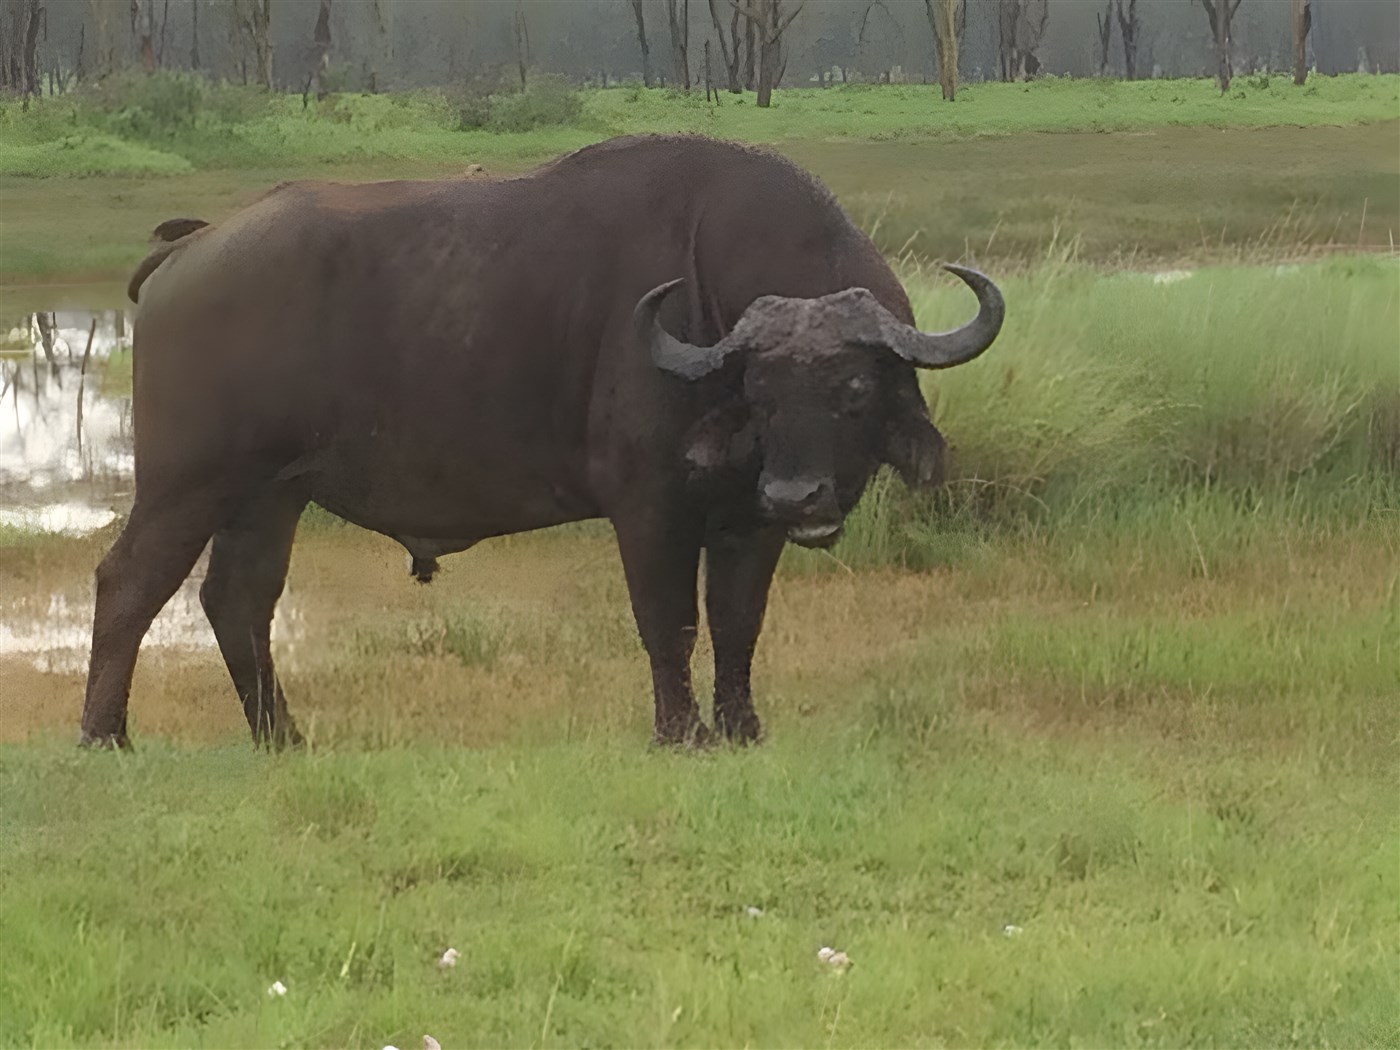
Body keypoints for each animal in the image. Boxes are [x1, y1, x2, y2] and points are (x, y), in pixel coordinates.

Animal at [81, 134, 1002, 750]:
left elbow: (738, 621)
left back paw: (283, 737)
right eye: (762, 390)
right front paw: (680, 732)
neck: (704, 297)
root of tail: (192, 245)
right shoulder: (649, 506)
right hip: (187, 483)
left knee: (238, 599)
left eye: (852, 391)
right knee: (130, 583)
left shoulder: (748, 521)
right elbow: (668, 620)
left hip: (272, 493)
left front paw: (742, 728)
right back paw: (105, 734)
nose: (798, 494)